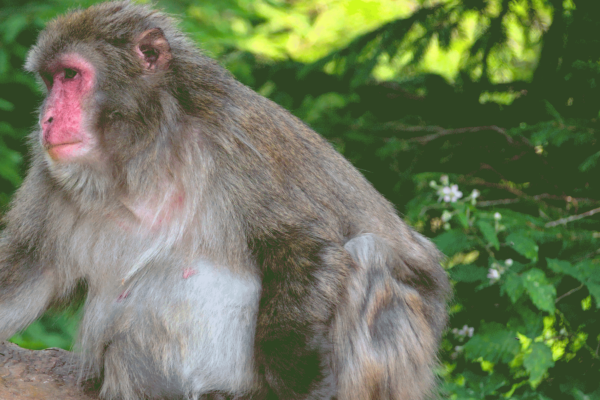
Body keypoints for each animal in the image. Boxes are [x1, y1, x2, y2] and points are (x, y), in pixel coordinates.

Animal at [0, 3, 450, 400]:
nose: (46, 119)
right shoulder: (51, 174)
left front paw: (297, 376)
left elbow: (307, 244)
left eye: (71, 75)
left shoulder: (238, 140)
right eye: (50, 81)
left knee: (370, 255)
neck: (143, 152)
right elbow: (28, 270)